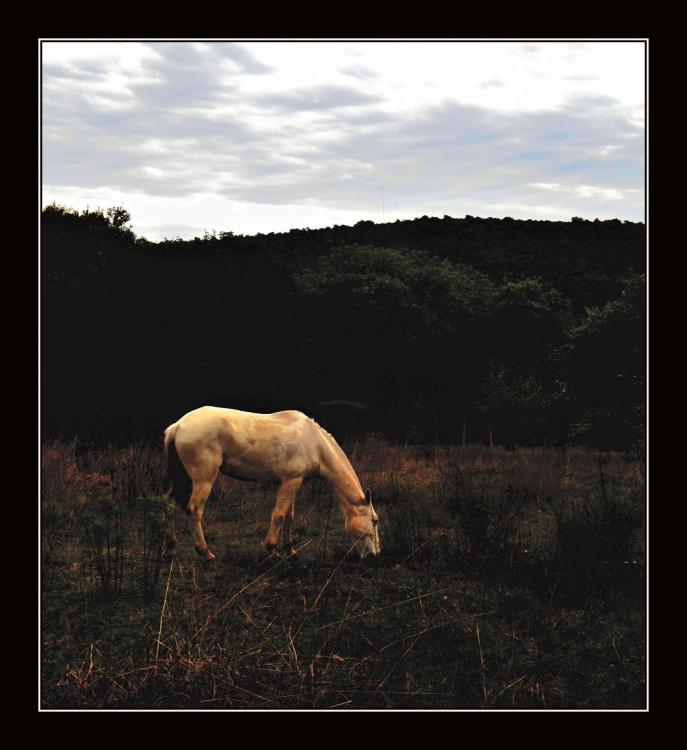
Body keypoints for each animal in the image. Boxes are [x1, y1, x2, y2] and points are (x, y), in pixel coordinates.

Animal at [163, 412, 382, 564]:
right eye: (374, 520)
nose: (374, 555)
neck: (315, 442)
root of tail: (178, 425)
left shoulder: (292, 481)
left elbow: (289, 518)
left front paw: (290, 552)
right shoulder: (291, 482)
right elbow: (279, 515)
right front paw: (271, 549)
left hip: (182, 479)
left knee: (170, 505)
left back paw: (170, 549)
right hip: (203, 480)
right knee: (195, 511)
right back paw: (205, 553)